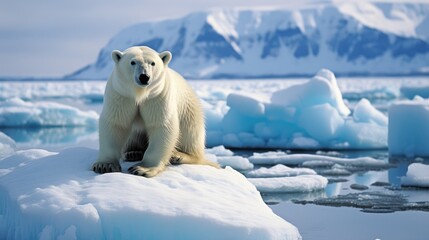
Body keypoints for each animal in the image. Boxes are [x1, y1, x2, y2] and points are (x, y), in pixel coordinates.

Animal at [90, 46, 217, 176]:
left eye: (153, 63)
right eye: (132, 62)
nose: (144, 77)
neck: (140, 93)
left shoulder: (158, 95)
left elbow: (161, 125)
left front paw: (142, 169)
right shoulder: (121, 94)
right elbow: (116, 123)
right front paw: (104, 165)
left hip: (190, 110)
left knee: (191, 134)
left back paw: (178, 155)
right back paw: (133, 153)